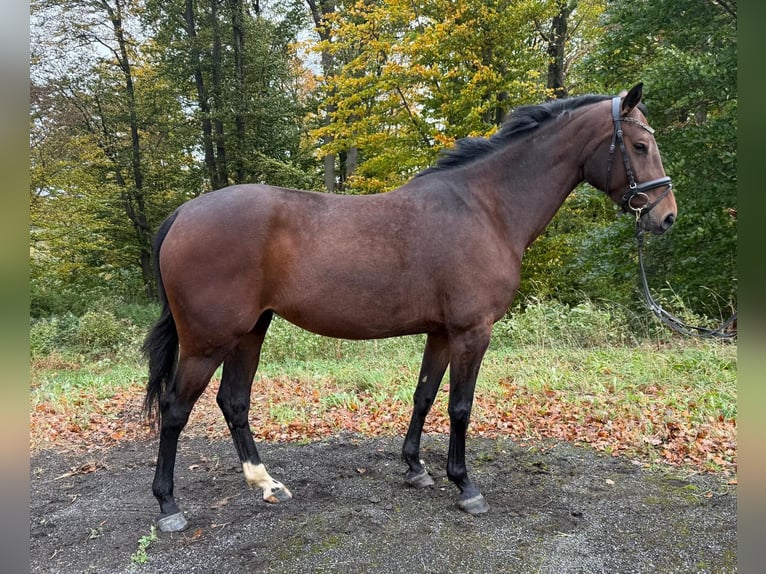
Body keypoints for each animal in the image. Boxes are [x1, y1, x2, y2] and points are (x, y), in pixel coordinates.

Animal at [142, 83, 676, 532]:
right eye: (640, 146)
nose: (666, 217)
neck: (485, 208)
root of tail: (184, 213)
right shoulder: (471, 332)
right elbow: (460, 406)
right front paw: (466, 486)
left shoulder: (441, 332)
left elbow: (424, 395)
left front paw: (416, 468)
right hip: (208, 341)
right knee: (175, 409)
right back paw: (169, 506)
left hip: (250, 331)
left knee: (234, 401)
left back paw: (267, 484)